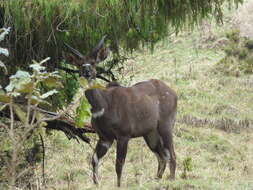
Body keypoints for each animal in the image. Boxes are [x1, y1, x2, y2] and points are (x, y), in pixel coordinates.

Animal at [64, 36, 177, 186]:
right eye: (79, 64)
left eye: (93, 62)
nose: (86, 72)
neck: (104, 105)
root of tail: (173, 93)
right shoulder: (105, 137)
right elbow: (94, 159)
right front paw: (96, 183)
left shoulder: (123, 135)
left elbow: (119, 164)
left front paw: (118, 185)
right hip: (150, 133)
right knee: (162, 155)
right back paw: (157, 179)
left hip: (165, 126)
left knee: (171, 154)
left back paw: (171, 179)